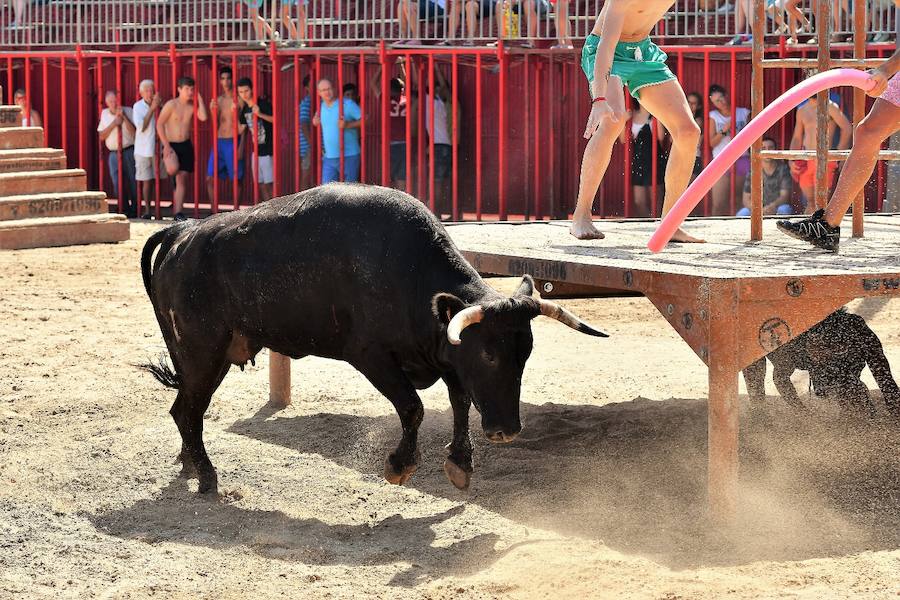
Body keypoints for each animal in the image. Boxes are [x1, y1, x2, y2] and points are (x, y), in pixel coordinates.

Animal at [141, 183, 604, 492]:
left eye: (525, 354)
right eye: (489, 355)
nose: (507, 430)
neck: (408, 273)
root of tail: (184, 231)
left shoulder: (444, 354)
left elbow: (459, 402)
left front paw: (460, 462)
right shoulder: (371, 356)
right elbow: (414, 407)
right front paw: (400, 464)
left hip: (203, 358)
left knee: (186, 410)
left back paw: (190, 464)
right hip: (203, 352)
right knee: (187, 411)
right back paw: (207, 476)